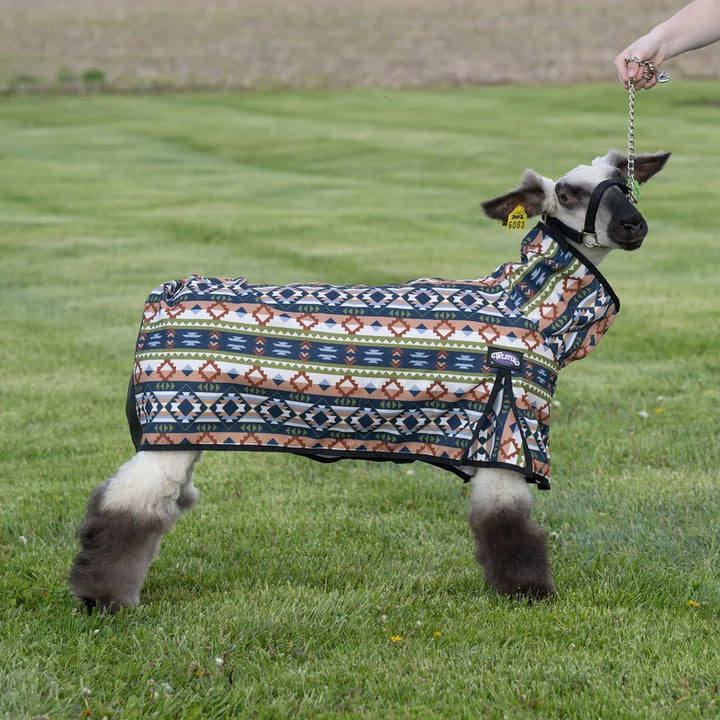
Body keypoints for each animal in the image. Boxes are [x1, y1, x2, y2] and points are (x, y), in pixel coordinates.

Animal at [70, 149, 669, 612]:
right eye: (567, 193)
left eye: (625, 182)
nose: (633, 226)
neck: (529, 307)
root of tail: (163, 295)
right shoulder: (508, 437)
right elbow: (510, 528)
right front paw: (529, 596)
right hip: (169, 432)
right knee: (125, 507)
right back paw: (101, 599)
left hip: (185, 433)